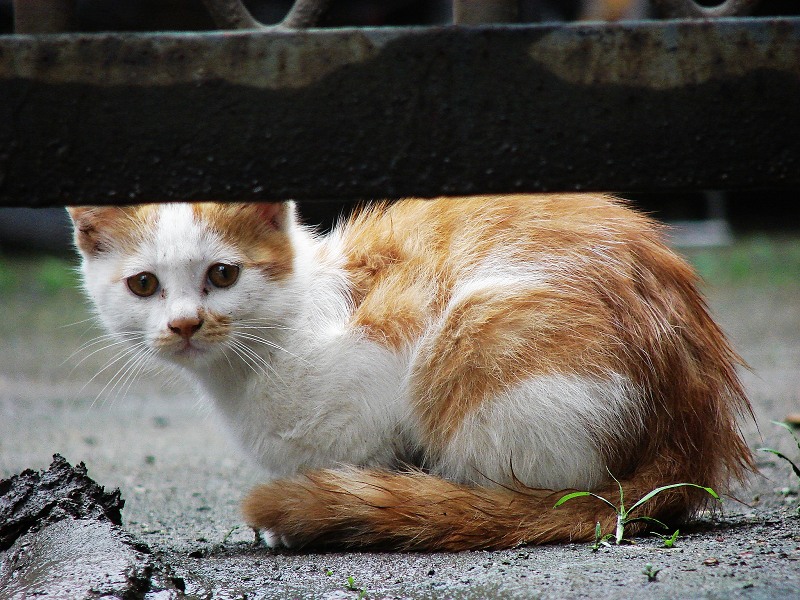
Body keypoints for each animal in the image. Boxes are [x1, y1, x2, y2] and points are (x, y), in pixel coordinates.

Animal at [67, 195, 752, 552]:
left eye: (223, 274)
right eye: (144, 285)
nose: (185, 324)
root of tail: (691, 436)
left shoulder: (381, 364)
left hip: (482, 334)